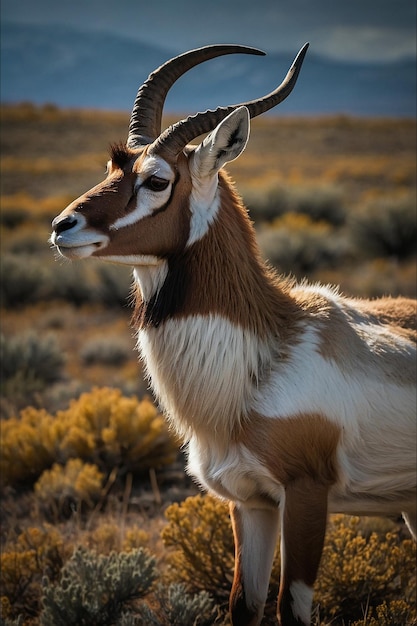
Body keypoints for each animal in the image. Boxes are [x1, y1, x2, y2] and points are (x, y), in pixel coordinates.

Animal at [49, 45, 416, 624]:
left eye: (157, 180)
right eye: (113, 167)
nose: (63, 227)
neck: (264, 359)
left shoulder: (305, 496)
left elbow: (290, 606)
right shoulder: (248, 502)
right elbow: (243, 604)